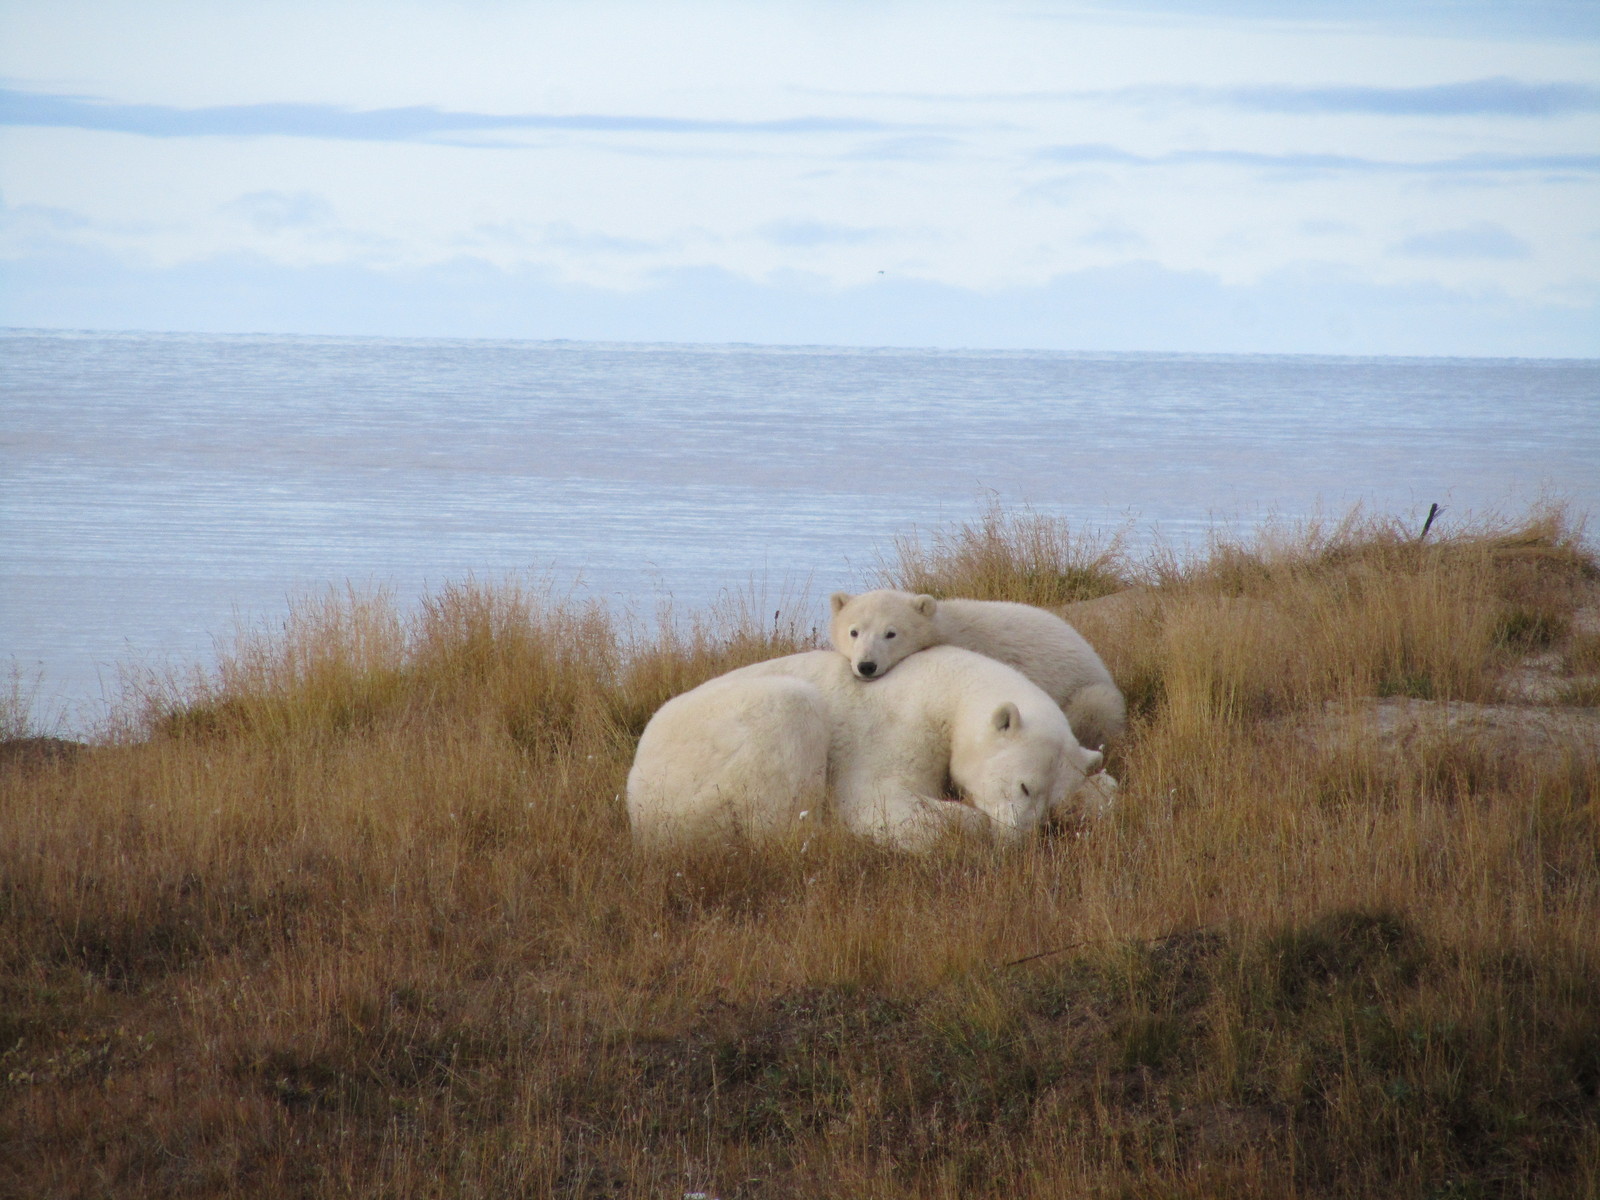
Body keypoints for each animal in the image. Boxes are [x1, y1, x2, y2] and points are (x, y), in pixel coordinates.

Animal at [620, 649, 1100, 857]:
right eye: (1023, 786)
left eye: (1050, 806)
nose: (1018, 842)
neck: (945, 685)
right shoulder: (893, 725)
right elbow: (878, 802)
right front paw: (967, 825)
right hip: (699, 770)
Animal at [832, 592, 1132, 752]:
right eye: (854, 631)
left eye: (891, 633)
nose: (866, 665)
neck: (946, 628)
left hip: (1086, 689)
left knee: (1093, 709)